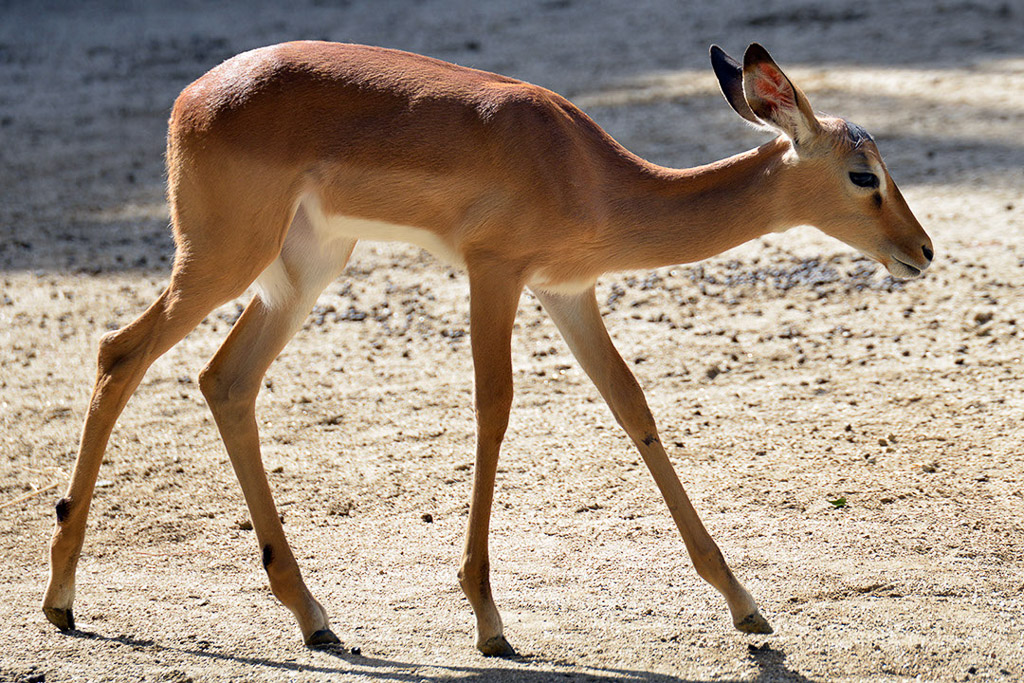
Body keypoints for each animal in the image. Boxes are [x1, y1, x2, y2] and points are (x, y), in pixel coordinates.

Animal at [44, 41, 933, 654]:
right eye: (863, 174)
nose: (921, 251)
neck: (586, 171)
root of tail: (189, 99)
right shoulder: (494, 273)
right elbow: (494, 409)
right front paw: (489, 619)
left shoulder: (568, 291)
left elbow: (632, 406)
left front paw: (746, 604)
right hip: (224, 258)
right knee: (119, 352)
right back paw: (61, 599)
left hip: (302, 269)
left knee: (225, 380)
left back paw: (314, 616)